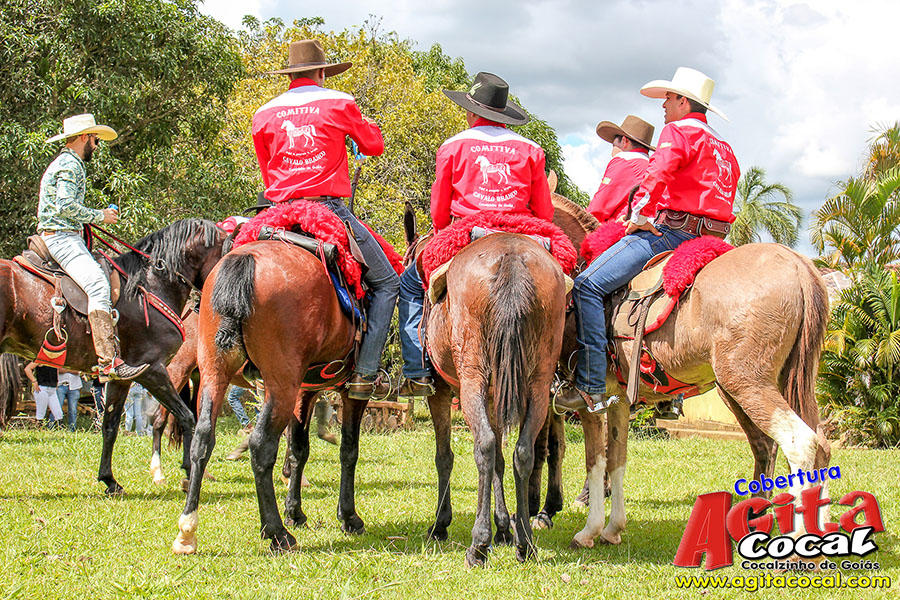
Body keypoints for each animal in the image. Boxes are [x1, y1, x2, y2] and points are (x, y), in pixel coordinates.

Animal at [0, 219, 226, 494]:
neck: (152, 287)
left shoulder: (121, 379)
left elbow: (110, 425)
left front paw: (109, 479)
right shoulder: (153, 370)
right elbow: (185, 416)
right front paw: (190, 471)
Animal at [171, 240, 364, 555]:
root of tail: (245, 259)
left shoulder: (304, 391)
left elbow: (299, 449)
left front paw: (295, 511)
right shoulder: (353, 391)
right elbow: (348, 450)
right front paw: (348, 517)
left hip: (215, 373)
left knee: (202, 439)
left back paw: (187, 530)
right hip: (279, 385)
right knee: (260, 445)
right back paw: (276, 532)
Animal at [422, 231, 568, 567]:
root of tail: (511, 257)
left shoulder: (440, 392)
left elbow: (444, 457)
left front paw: (441, 524)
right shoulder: (496, 398)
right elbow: (502, 461)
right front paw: (503, 528)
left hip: (472, 377)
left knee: (485, 446)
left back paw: (478, 544)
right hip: (537, 383)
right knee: (523, 451)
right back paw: (525, 542)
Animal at [545, 193, 831, 550]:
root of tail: (798, 264)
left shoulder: (589, 402)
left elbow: (595, 461)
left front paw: (589, 530)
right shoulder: (619, 400)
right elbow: (617, 459)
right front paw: (613, 528)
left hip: (745, 383)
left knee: (799, 443)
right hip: (780, 384)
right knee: (806, 447)